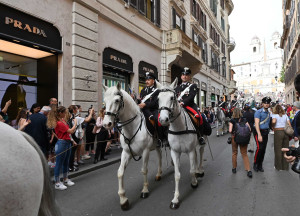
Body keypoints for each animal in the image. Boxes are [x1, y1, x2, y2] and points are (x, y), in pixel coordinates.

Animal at [102, 83, 163, 211]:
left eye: (117, 100)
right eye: (104, 101)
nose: (106, 124)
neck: (132, 127)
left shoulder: (145, 151)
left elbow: (144, 170)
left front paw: (145, 190)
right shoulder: (126, 152)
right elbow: (120, 172)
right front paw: (123, 199)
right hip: (157, 145)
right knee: (160, 157)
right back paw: (159, 174)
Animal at [156, 79, 205, 209]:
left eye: (172, 97)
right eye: (158, 98)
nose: (163, 120)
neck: (179, 127)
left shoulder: (190, 151)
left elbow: (191, 170)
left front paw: (194, 182)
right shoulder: (175, 152)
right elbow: (177, 175)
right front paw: (175, 199)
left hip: (201, 142)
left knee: (201, 153)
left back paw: (200, 170)